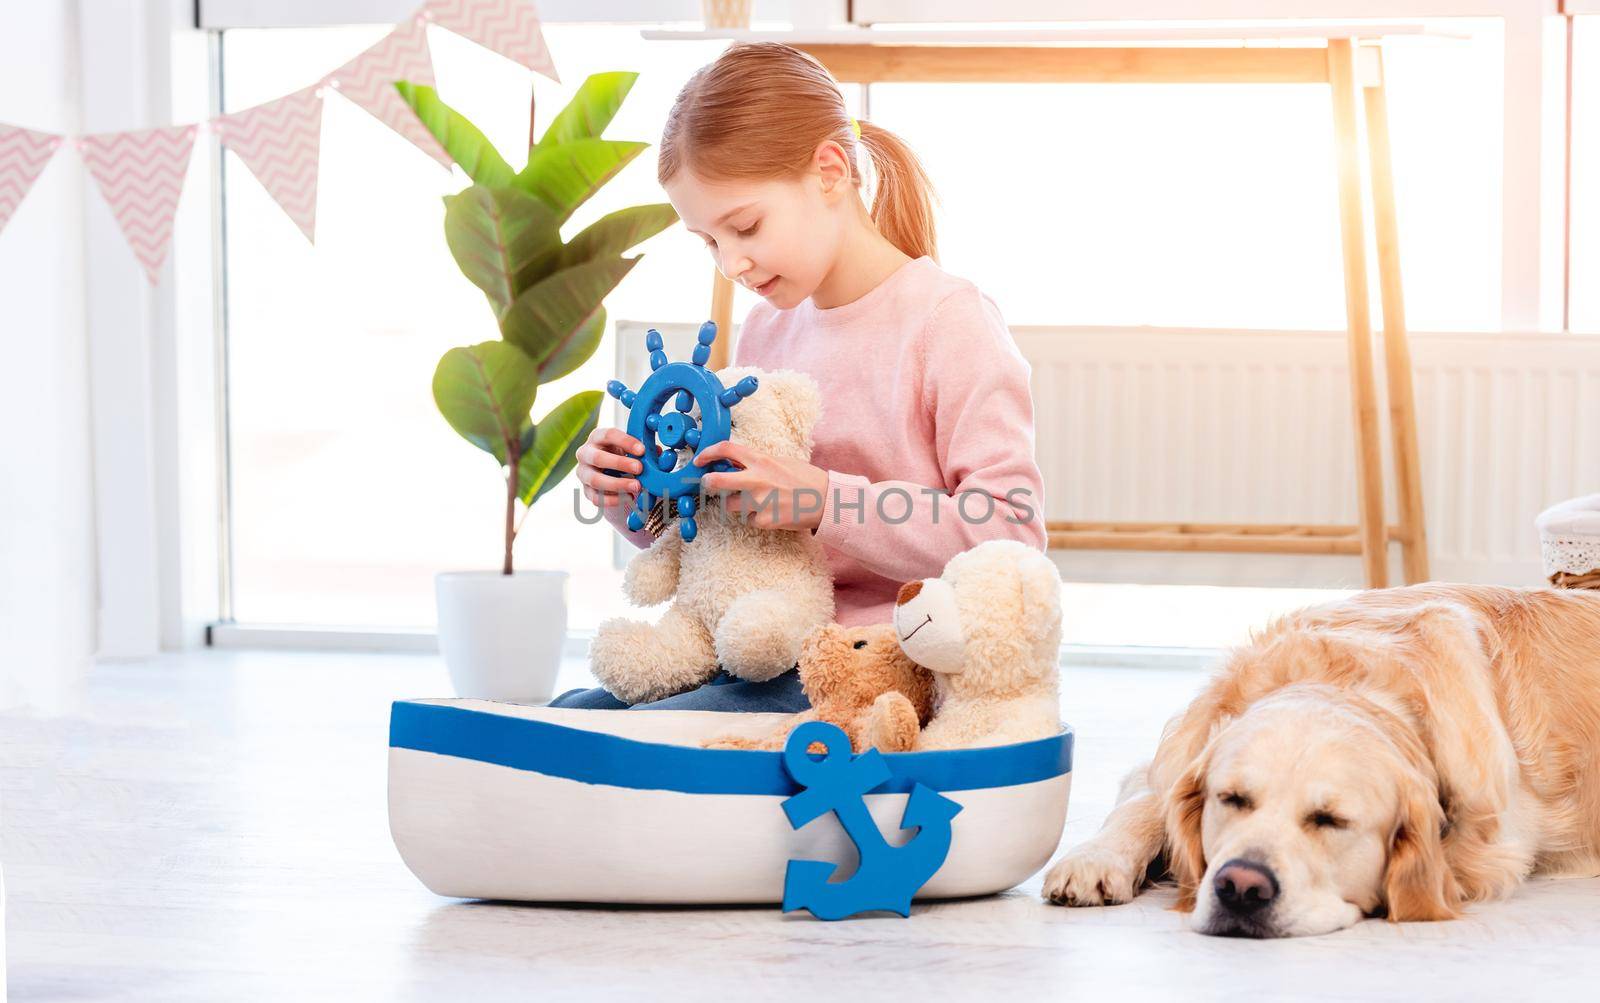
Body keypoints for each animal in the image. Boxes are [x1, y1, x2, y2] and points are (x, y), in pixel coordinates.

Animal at [1036, 585, 1600, 940]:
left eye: (1332, 822)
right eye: (1232, 800)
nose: (1241, 887)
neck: (1347, 680)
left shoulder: (1493, 844)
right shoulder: (1171, 757)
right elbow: (1146, 804)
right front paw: (1095, 860)